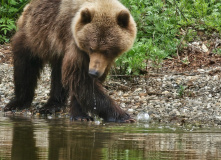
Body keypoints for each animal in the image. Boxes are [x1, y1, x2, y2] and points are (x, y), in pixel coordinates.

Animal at [4, 0, 136, 122]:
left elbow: (84, 83)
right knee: (25, 67)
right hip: (34, 35)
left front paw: (80, 113)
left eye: (107, 50)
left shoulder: (103, 61)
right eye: (91, 48)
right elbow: (80, 79)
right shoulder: (75, 44)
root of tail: (28, 6)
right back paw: (17, 103)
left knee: (58, 75)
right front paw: (122, 116)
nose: (93, 72)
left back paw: (52, 105)